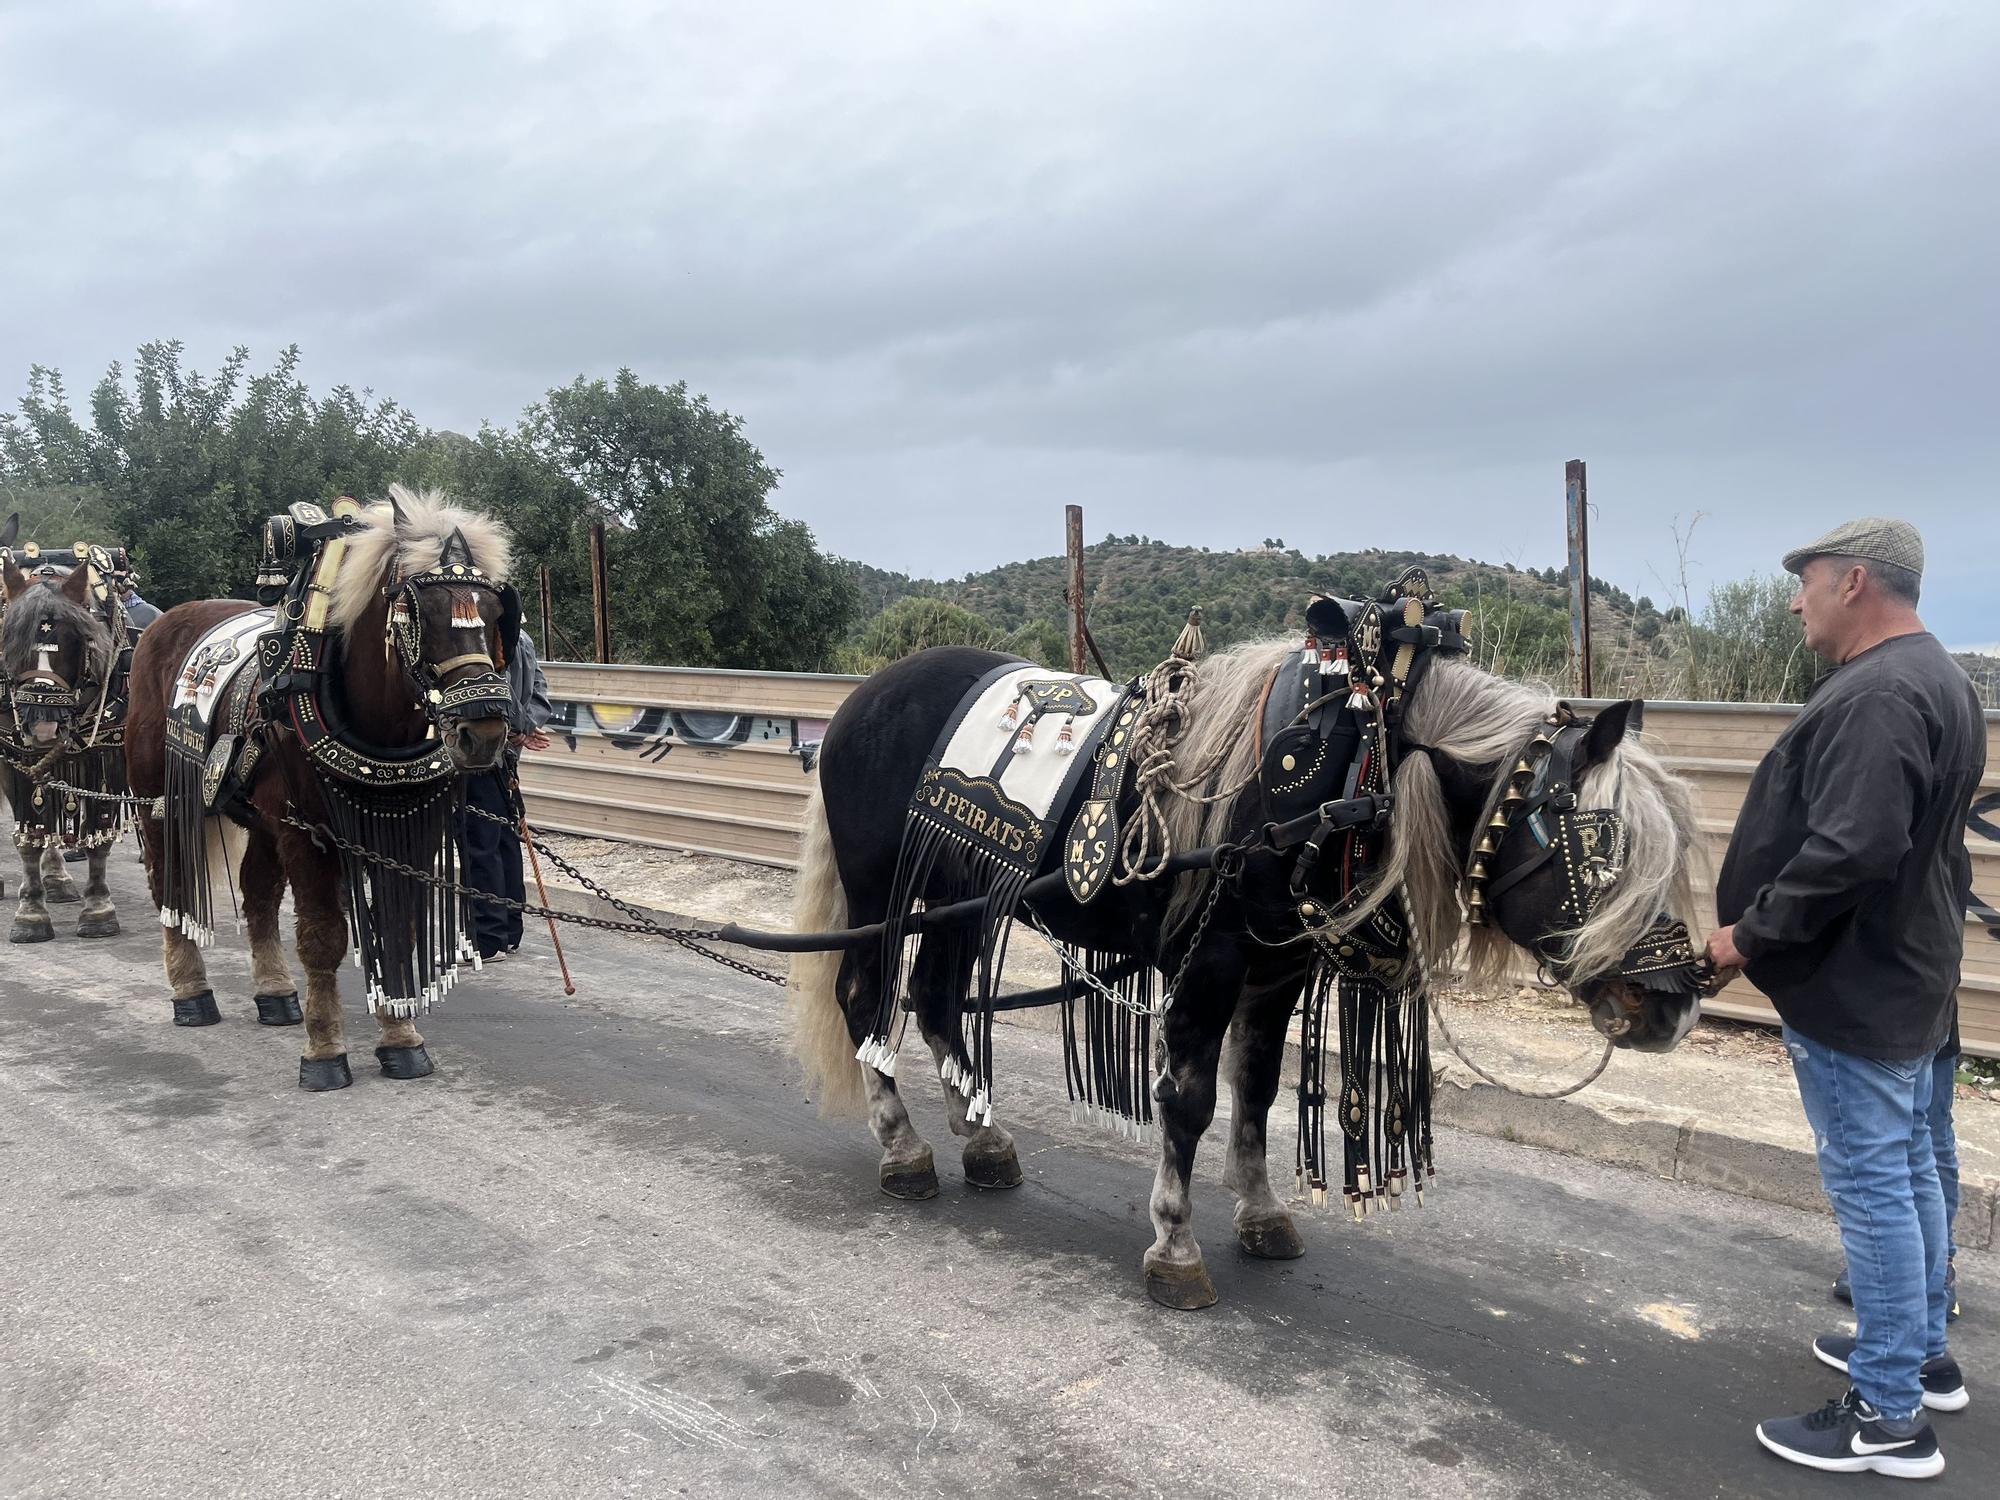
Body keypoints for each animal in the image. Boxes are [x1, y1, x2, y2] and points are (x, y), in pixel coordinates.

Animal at [126, 494, 516, 1096]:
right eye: (420, 613)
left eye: (496, 614)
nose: (485, 731)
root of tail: (161, 623)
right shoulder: (305, 832)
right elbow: (323, 937)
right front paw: (326, 1049)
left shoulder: (408, 835)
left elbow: (398, 930)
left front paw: (401, 1039)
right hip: (161, 802)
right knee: (170, 885)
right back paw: (191, 992)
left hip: (259, 821)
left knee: (258, 894)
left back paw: (275, 992)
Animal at [780, 640, 1704, 1312]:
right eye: (1602, 845)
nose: (1676, 1004)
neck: (1347, 766)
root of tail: (862, 698)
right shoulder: (1213, 956)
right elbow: (1189, 1099)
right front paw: (1175, 1243)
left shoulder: (1279, 965)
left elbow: (1257, 1085)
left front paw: (1260, 1213)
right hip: (883, 892)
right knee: (865, 999)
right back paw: (904, 1149)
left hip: (961, 896)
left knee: (936, 997)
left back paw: (983, 1140)